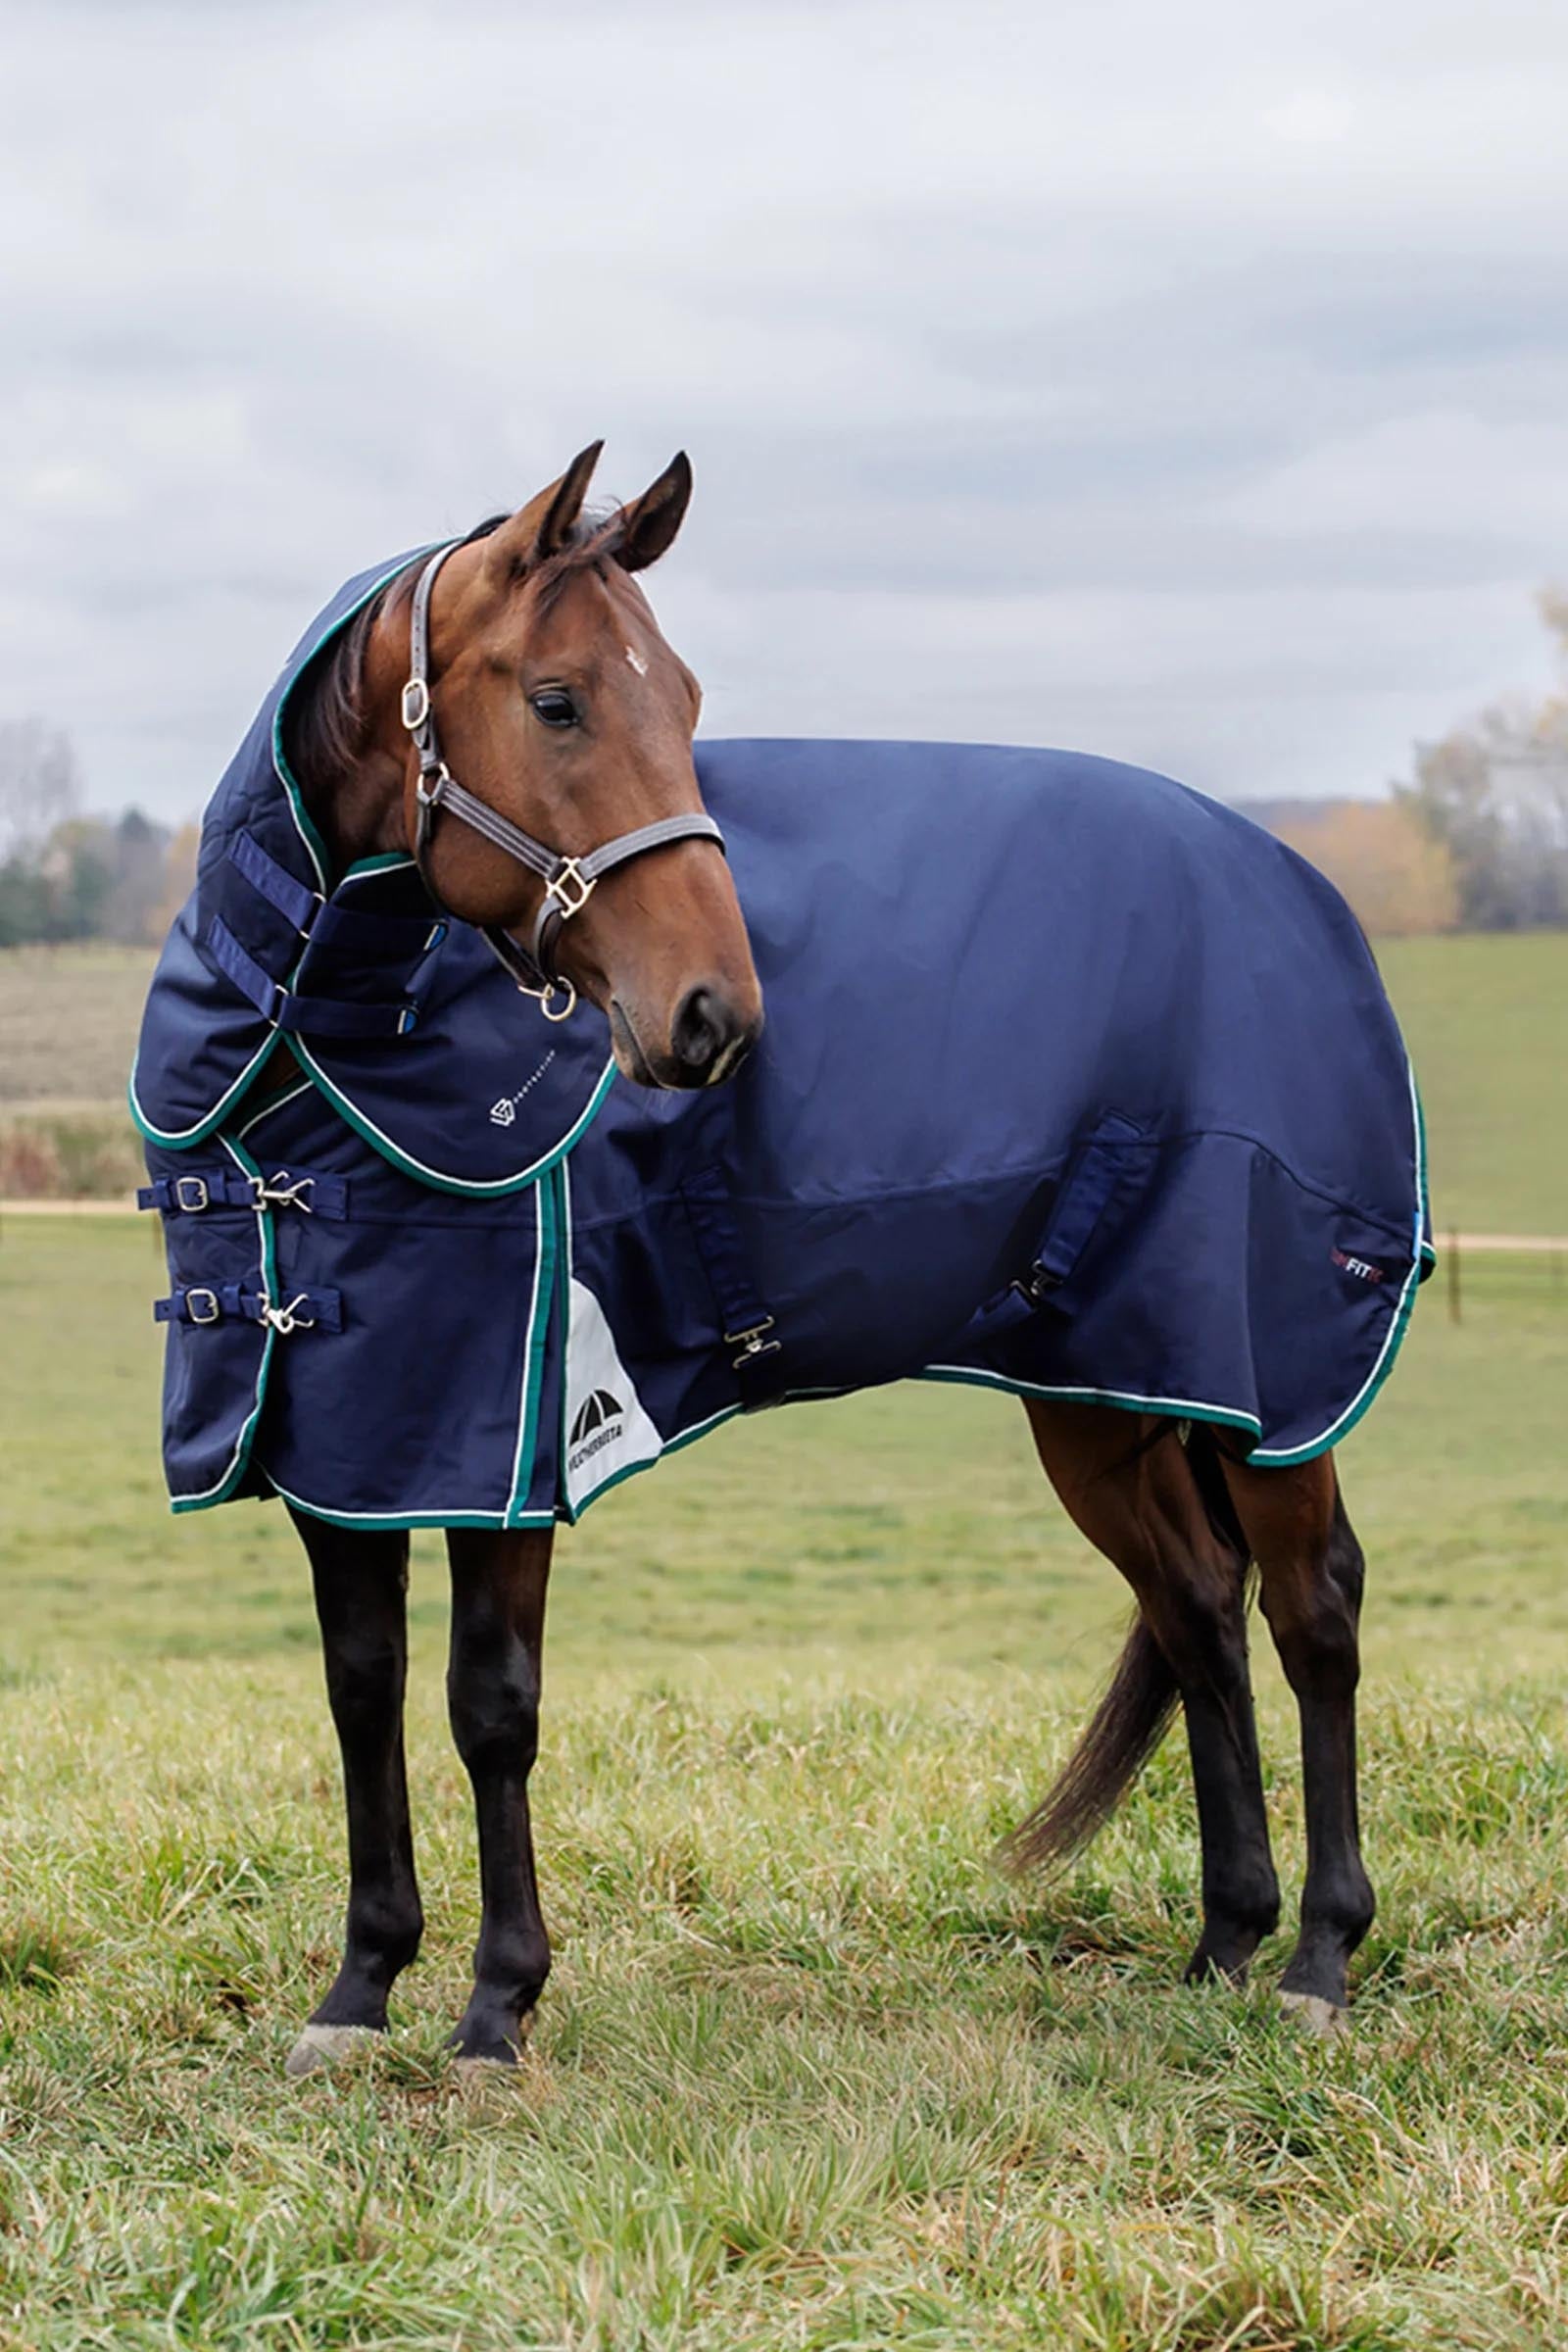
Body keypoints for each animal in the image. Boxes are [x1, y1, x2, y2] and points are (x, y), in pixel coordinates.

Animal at [133, 444, 1420, 2073]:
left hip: (1274, 1376)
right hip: (1109, 1386)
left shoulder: (512, 1438)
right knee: (1198, 1610)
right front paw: (361, 1992)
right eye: (557, 700)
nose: (713, 1016)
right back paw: (1223, 1945)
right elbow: (362, 1690)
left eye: (682, 699)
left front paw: (495, 2006)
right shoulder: (347, 1437)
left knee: (1315, 1610)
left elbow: (491, 1704)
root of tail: (1290, 881)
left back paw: (1319, 1957)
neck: (318, 1056)